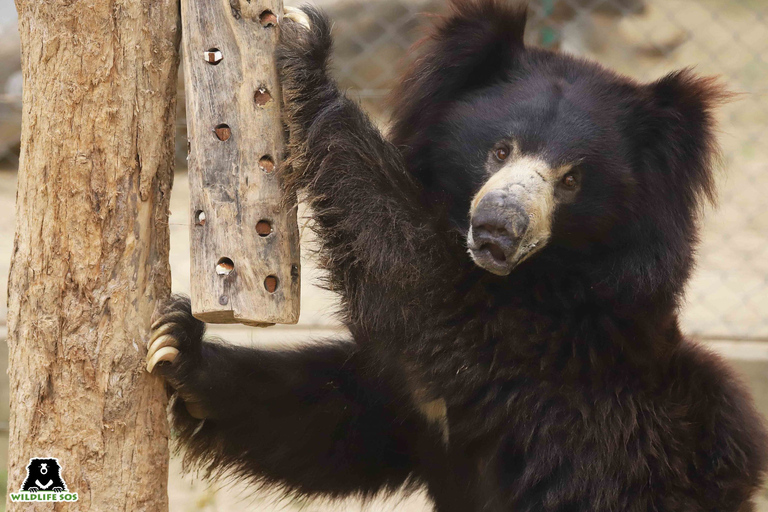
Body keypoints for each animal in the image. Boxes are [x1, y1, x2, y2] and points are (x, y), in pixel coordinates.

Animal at [147, 1, 764, 512]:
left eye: (571, 180)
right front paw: (176, 344)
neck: (534, 279)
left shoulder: (544, 347)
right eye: (499, 149)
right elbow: (327, 418)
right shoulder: (414, 403)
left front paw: (303, 52)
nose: (497, 230)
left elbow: (422, 288)